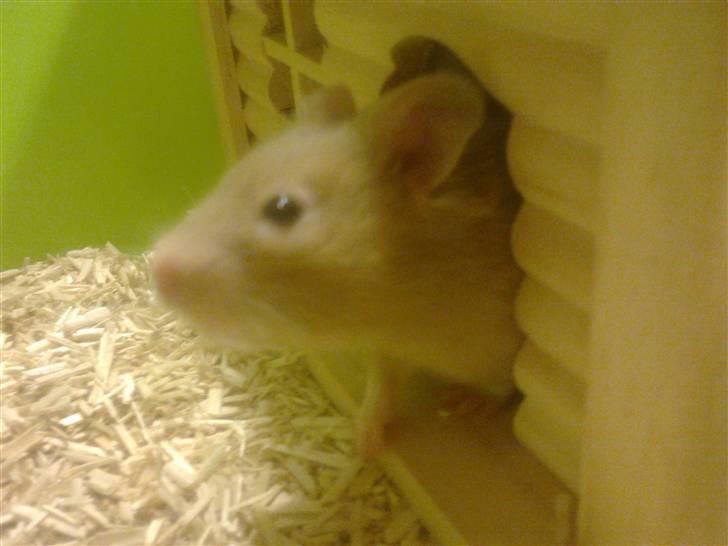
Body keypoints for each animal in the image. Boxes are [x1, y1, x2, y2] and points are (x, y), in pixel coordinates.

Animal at [152, 70, 523, 456]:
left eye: (283, 209)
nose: (155, 267)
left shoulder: (504, 346)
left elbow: (505, 386)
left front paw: (467, 404)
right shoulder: (387, 351)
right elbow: (381, 388)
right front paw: (364, 441)